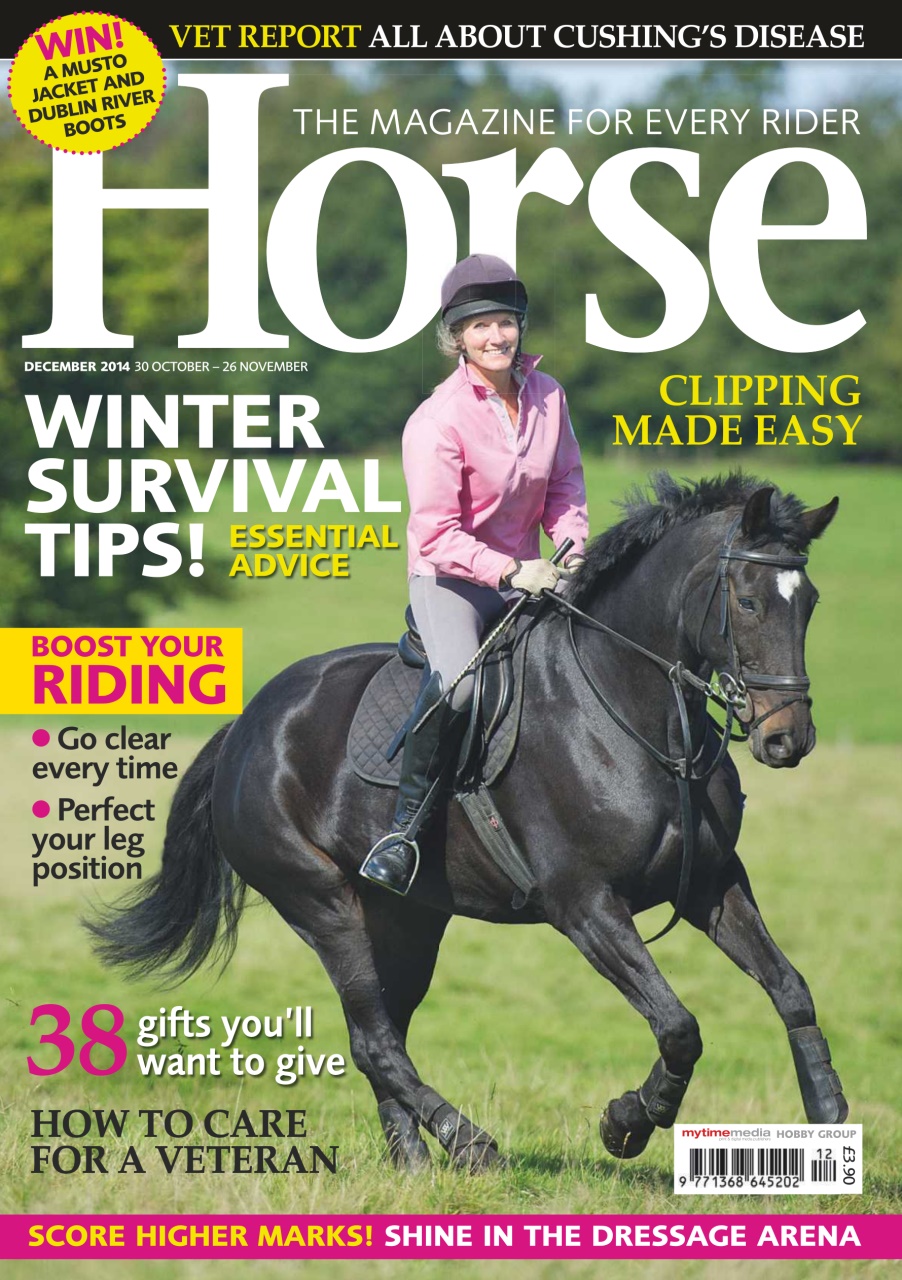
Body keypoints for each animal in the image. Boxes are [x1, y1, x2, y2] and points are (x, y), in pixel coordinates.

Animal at [86, 471, 847, 1171]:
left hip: (408, 917)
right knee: (374, 1038)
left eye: (810, 603)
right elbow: (678, 1025)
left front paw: (827, 1108)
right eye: (747, 601)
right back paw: (470, 1145)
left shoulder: (711, 883)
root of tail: (247, 725)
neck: (635, 712)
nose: (788, 739)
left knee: (381, 1033)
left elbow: (791, 989)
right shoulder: (585, 905)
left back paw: (414, 1165)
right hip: (322, 904)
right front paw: (627, 1123)